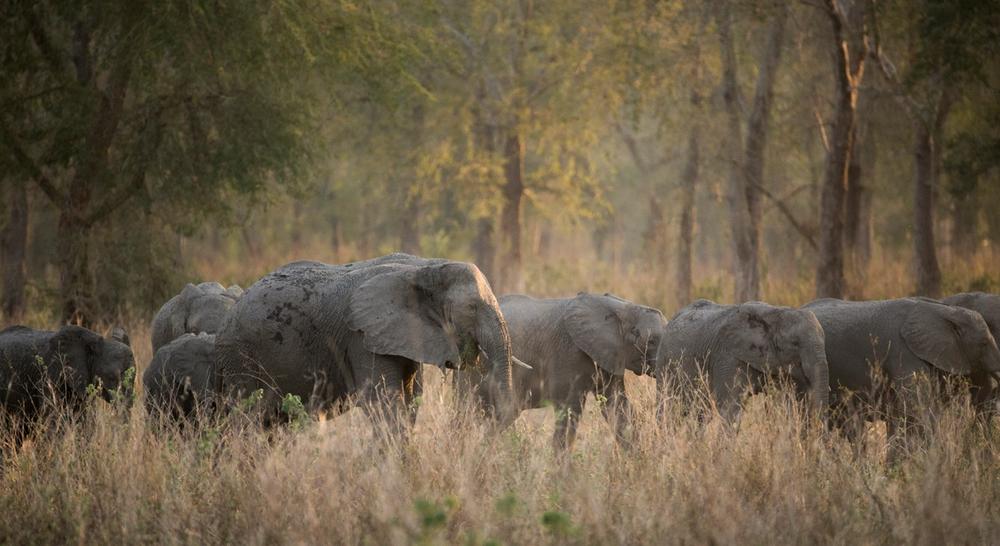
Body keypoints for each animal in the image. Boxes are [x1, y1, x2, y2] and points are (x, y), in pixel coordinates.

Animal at [215, 253, 518, 434]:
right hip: (242, 359)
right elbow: (383, 403)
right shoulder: (361, 337)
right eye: (471, 308)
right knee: (248, 422)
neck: (423, 268)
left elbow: (410, 402)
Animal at [656, 300, 830, 422]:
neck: (775, 313)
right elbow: (730, 408)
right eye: (795, 343)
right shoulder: (728, 356)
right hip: (664, 363)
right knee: (667, 407)